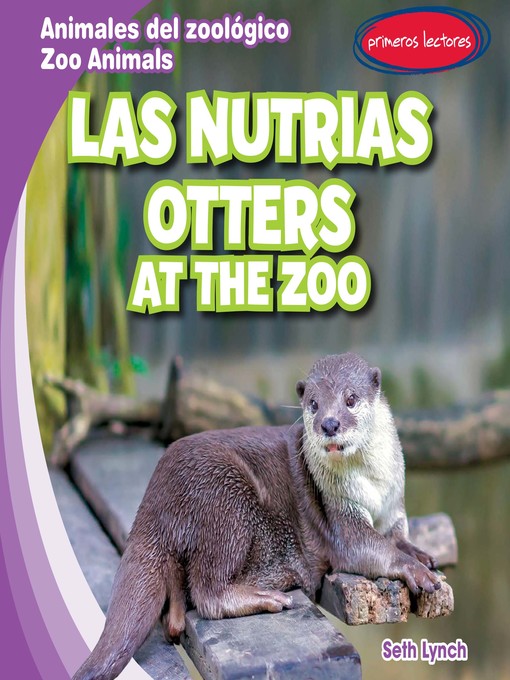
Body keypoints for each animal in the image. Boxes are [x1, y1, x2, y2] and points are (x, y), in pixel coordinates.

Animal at [73, 353, 440, 680]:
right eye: (313, 404)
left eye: (350, 399)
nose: (329, 424)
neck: (372, 486)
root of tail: (154, 498)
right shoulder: (340, 513)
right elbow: (367, 548)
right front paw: (415, 569)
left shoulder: (394, 504)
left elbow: (398, 534)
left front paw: (419, 552)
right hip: (225, 499)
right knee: (208, 592)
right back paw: (267, 597)